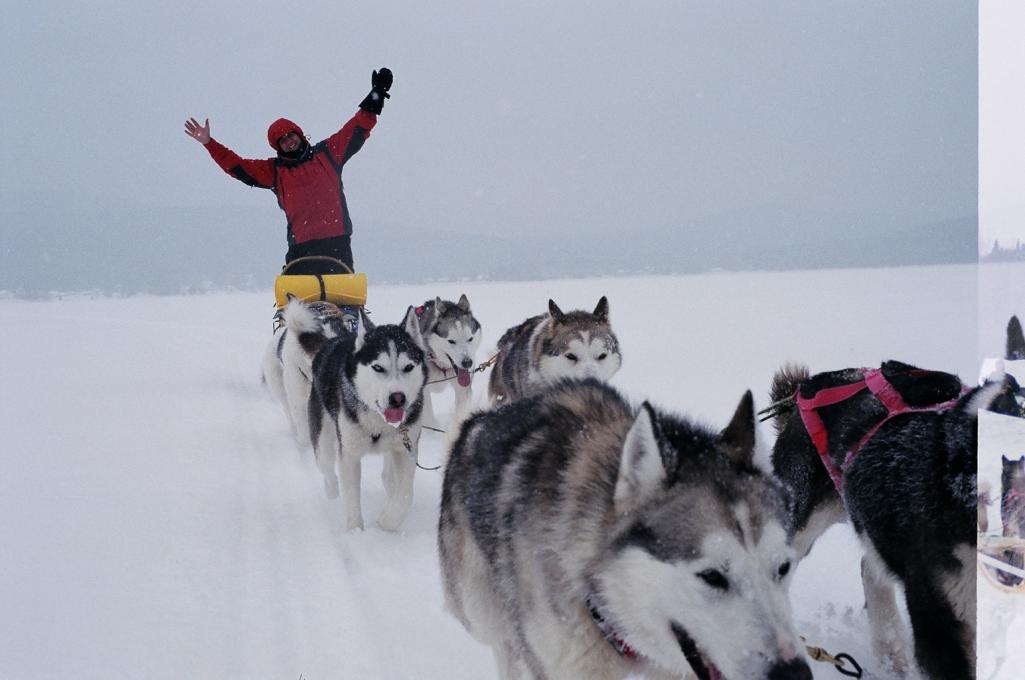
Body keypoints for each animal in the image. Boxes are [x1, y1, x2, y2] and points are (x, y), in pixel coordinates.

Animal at [307, 306, 427, 532]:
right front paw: (355, 532)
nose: (398, 398)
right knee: (327, 469)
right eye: (378, 367)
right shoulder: (349, 455)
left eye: (408, 367)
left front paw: (387, 523)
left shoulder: (406, 449)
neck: (378, 421)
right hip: (323, 442)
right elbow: (352, 498)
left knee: (389, 479)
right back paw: (332, 492)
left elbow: (406, 495)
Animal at [413, 295, 482, 425]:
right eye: (451, 341)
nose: (467, 362)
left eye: (470, 339)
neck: (442, 367)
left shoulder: (463, 390)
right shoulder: (423, 390)